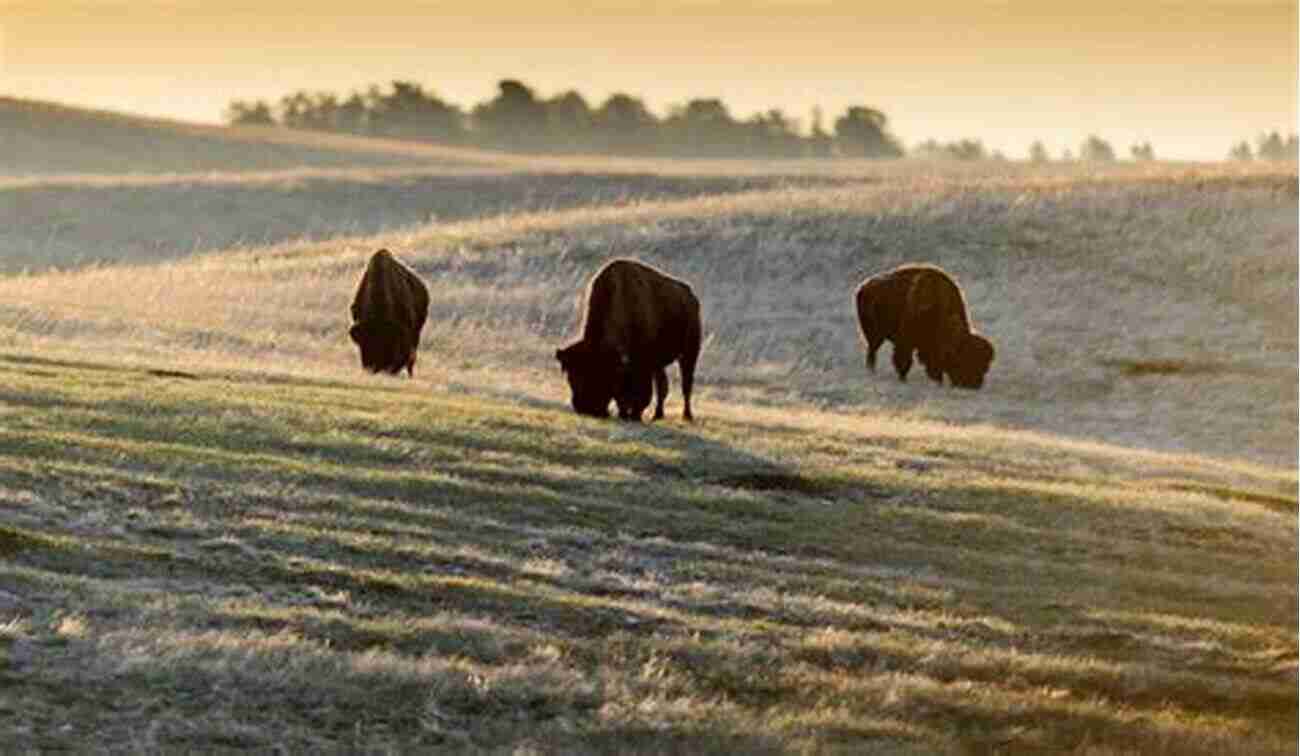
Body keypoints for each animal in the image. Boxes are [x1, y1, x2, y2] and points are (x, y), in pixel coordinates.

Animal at [556, 261, 702, 423]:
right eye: (571, 377)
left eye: (602, 374)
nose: (587, 409)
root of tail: (691, 296)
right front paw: (625, 414)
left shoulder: (643, 365)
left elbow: (642, 393)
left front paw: (635, 415)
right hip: (661, 365)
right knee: (662, 386)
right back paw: (657, 415)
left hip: (690, 353)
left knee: (686, 385)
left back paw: (687, 416)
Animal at [852, 263, 993, 392]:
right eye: (964, 359)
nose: (974, 385)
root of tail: (863, 287)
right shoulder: (905, 342)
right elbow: (904, 360)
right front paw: (903, 379)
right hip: (874, 335)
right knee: (872, 351)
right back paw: (872, 371)